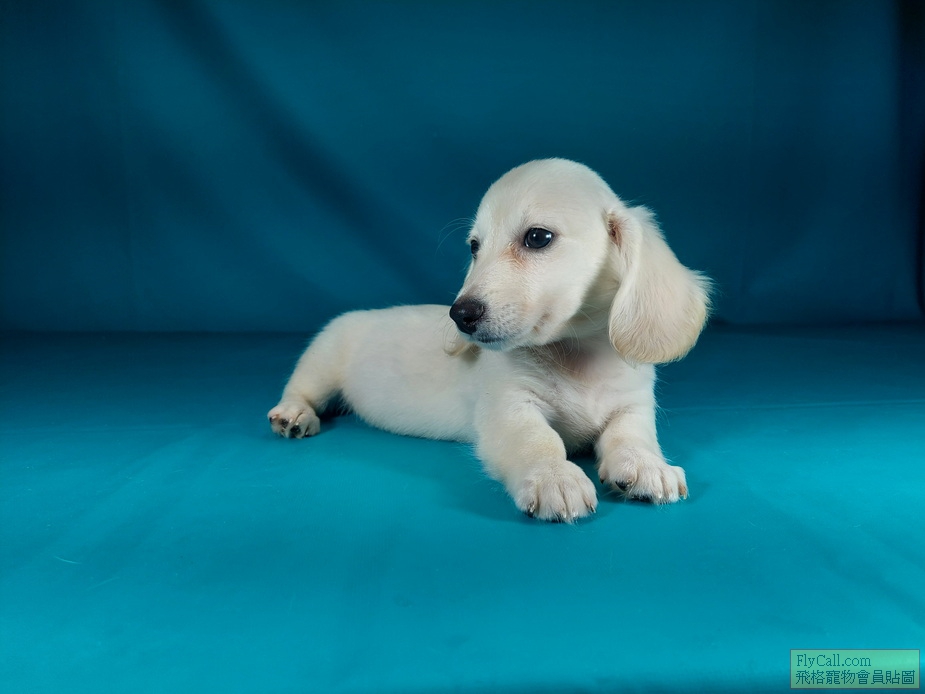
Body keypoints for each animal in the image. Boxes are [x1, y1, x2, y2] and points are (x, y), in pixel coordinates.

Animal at [268, 158, 710, 522]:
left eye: (537, 237)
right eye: (474, 246)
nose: (459, 315)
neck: (578, 356)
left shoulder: (632, 407)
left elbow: (631, 436)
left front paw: (647, 464)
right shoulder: (509, 409)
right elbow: (538, 440)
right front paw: (553, 477)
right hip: (323, 358)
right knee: (301, 389)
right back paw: (294, 415)